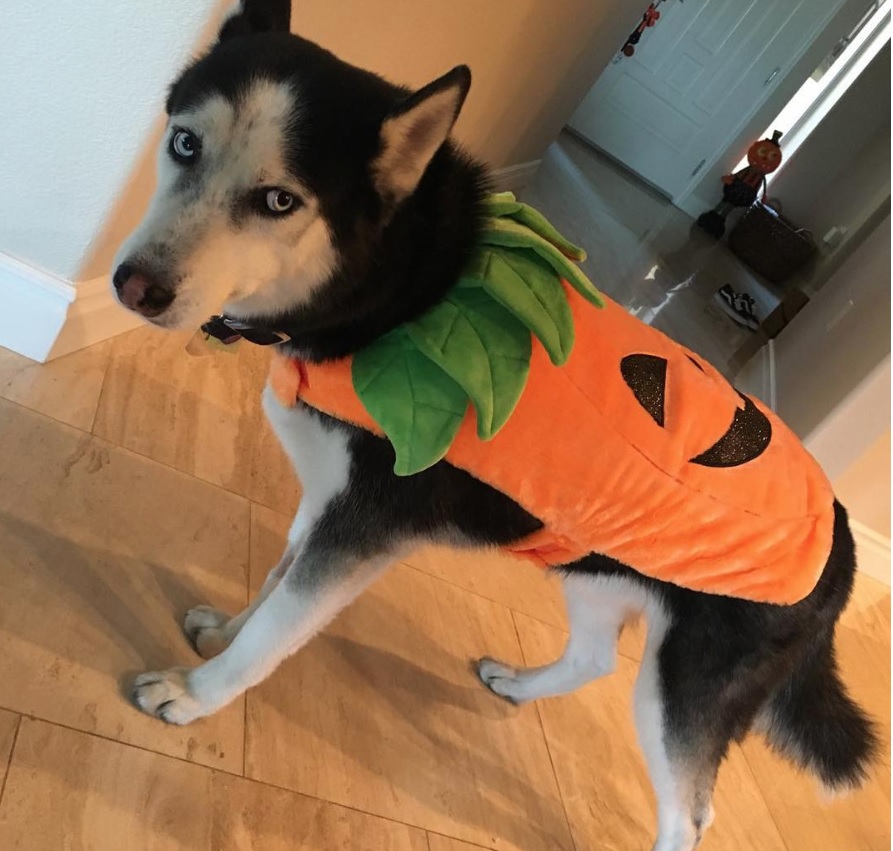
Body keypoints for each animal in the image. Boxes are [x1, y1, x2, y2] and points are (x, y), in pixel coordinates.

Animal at [111, 3, 872, 848]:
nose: (134, 285)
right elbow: (277, 579)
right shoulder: (327, 502)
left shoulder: (360, 529)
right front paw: (226, 628)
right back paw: (518, 680)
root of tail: (842, 540)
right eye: (184, 143)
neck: (398, 292)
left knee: (689, 811)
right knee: (593, 659)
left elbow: (278, 628)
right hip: (593, 570)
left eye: (278, 201)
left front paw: (197, 692)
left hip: (686, 686)